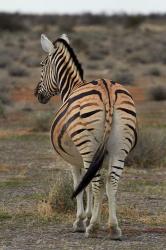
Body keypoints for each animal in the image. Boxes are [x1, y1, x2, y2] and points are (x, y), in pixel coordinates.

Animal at [34, 34, 137, 239]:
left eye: (42, 65)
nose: (37, 94)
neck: (73, 87)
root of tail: (107, 89)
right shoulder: (96, 159)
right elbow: (91, 186)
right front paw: (90, 216)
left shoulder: (74, 160)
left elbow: (80, 184)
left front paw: (82, 220)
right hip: (119, 149)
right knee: (112, 183)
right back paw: (114, 228)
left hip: (88, 147)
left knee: (97, 183)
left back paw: (93, 228)